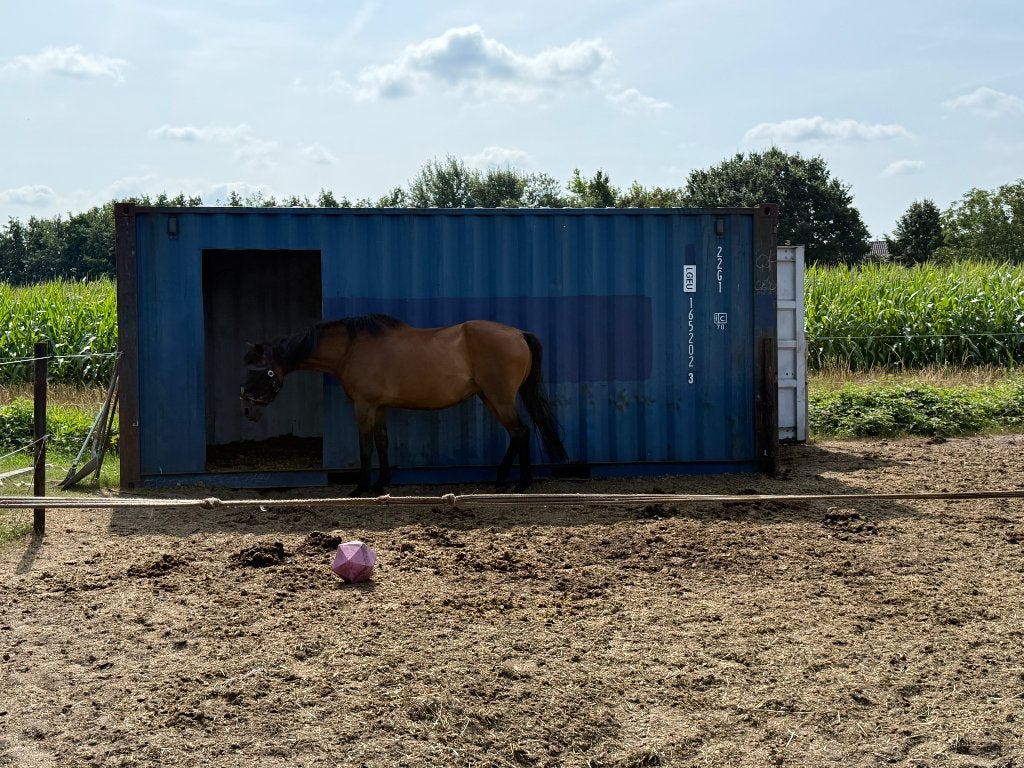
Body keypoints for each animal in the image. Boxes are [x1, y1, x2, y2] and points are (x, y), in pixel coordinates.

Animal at [240, 313, 568, 495]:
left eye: (259, 371)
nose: (246, 409)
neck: (351, 348)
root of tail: (519, 334)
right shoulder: (379, 407)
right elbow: (383, 442)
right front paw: (382, 483)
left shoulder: (364, 405)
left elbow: (365, 446)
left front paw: (361, 487)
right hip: (489, 397)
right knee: (515, 434)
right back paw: (501, 480)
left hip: (499, 397)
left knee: (521, 432)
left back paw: (522, 483)